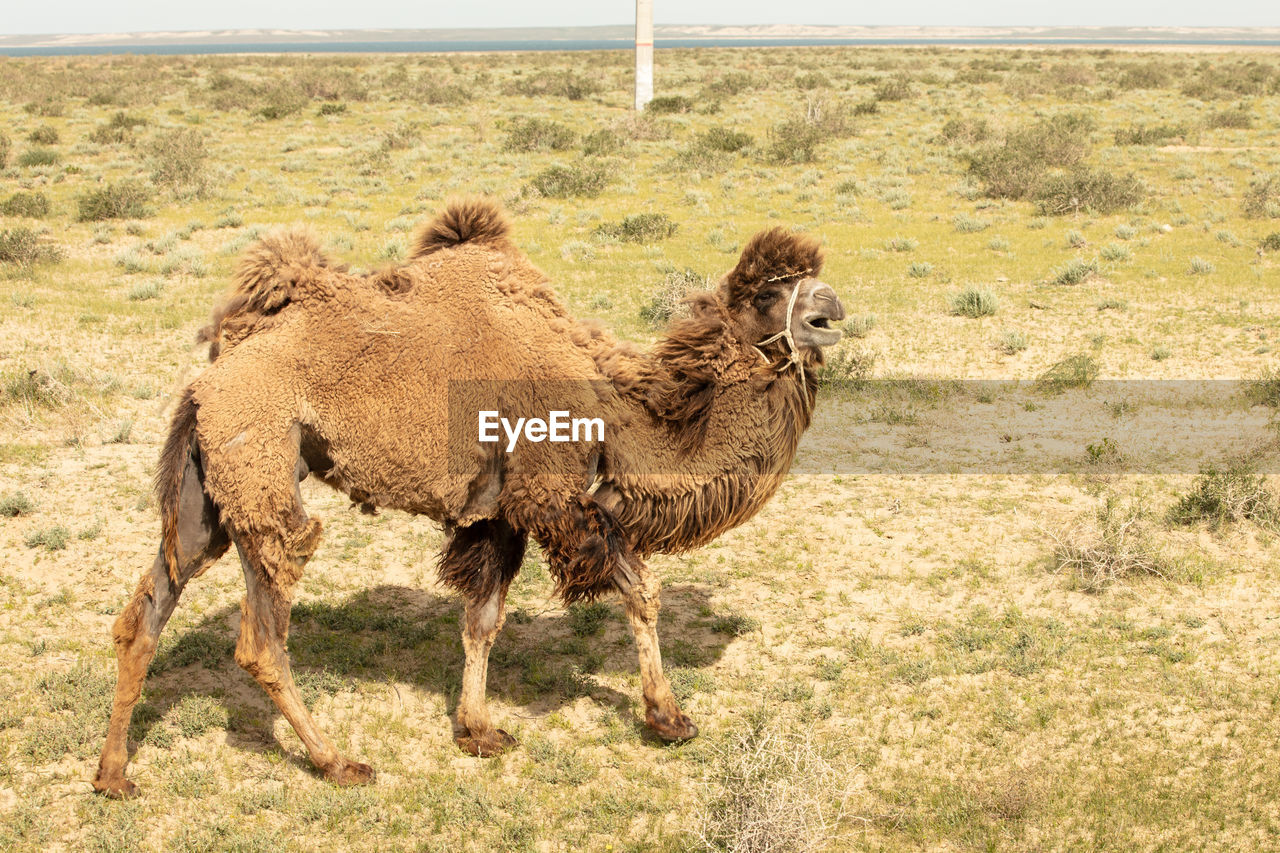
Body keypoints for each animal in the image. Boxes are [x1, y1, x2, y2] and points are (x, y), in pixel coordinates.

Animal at [94, 195, 844, 794]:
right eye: (770, 292)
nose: (832, 308)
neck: (612, 404)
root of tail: (207, 381)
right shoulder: (550, 490)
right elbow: (638, 586)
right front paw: (667, 716)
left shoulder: (500, 511)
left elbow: (483, 618)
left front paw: (478, 729)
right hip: (264, 480)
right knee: (262, 638)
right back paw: (339, 763)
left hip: (207, 497)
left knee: (148, 610)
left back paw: (113, 775)